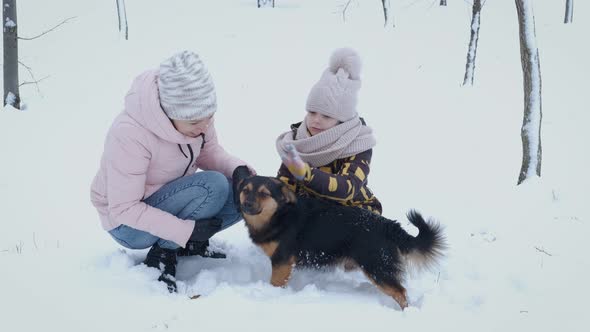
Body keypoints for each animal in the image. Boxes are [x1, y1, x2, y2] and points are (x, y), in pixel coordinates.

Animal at [234, 166, 446, 308]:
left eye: (264, 194)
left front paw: (271, 296)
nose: (246, 205)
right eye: (245, 191)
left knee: (401, 292)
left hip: (376, 265)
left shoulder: (282, 261)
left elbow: (275, 284)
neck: (279, 215)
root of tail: (387, 225)